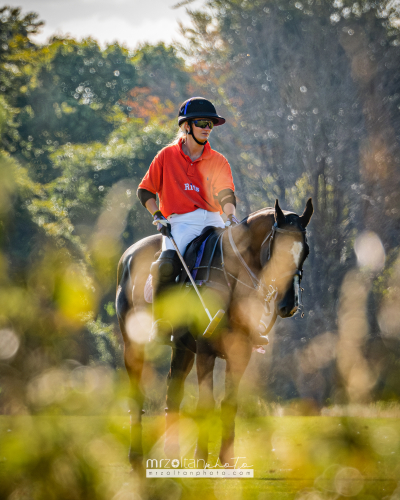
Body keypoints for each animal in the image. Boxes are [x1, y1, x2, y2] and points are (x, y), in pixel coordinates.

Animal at [115, 198, 312, 468]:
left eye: (306, 251)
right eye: (277, 251)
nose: (289, 304)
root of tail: (129, 253)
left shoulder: (240, 352)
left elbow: (229, 403)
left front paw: (227, 459)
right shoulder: (206, 350)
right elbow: (206, 404)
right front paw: (201, 459)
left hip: (182, 348)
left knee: (172, 393)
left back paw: (171, 453)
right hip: (133, 343)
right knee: (138, 391)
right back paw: (135, 455)